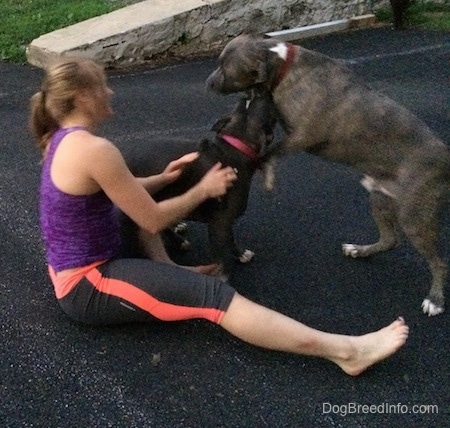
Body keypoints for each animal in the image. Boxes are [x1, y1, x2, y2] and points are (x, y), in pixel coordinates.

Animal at [123, 91, 278, 278]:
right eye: (262, 103)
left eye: (248, 100)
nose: (256, 91)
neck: (236, 146)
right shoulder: (219, 224)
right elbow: (222, 258)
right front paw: (223, 276)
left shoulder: (224, 223)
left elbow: (231, 240)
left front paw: (240, 255)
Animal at [207, 34, 450, 314]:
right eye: (218, 62)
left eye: (226, 71)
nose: (208, 82)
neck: (283, 65)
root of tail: (446, 158)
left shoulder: (303, 134)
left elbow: (271, 152)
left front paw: (267, 175)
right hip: (380, 199)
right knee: (390, 239)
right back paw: (360, 250)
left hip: (415, 217)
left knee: (439, 262)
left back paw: (435, 300)